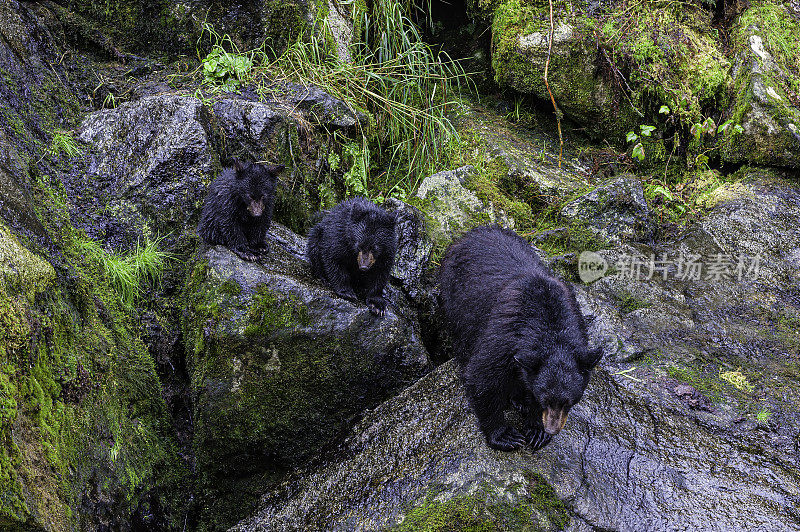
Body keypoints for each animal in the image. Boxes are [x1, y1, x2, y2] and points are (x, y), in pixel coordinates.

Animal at [438, 224, 600, 454]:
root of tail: (468, 234)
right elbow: (481, 377)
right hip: (456, 301)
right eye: (545, 400)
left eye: (569, 401)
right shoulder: (504, 336)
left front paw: (536, 430)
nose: (551, 429)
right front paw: (504, 435)